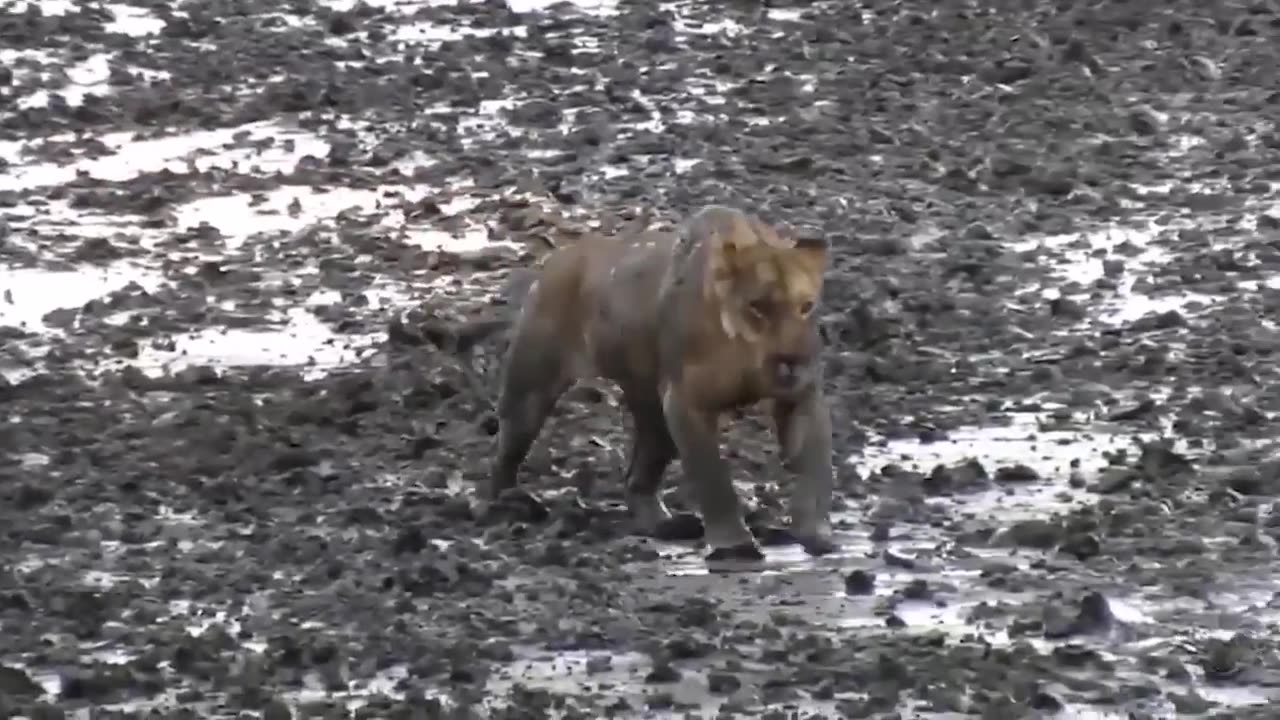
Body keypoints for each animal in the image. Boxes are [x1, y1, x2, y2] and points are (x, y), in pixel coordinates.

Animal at [483, 204, 834, 558]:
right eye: (758, 307)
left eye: (806, 306)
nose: (793, 360)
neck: (742, 351)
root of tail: (557, 259)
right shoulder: (685, 401)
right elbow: (713, 477)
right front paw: (735, 546)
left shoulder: (802, 396)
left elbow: (815, 468)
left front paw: (815, 532)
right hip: (531, 388)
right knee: (508, 448)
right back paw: (506, 503)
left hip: (651, 407)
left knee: (639, 474)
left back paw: (664, 524)